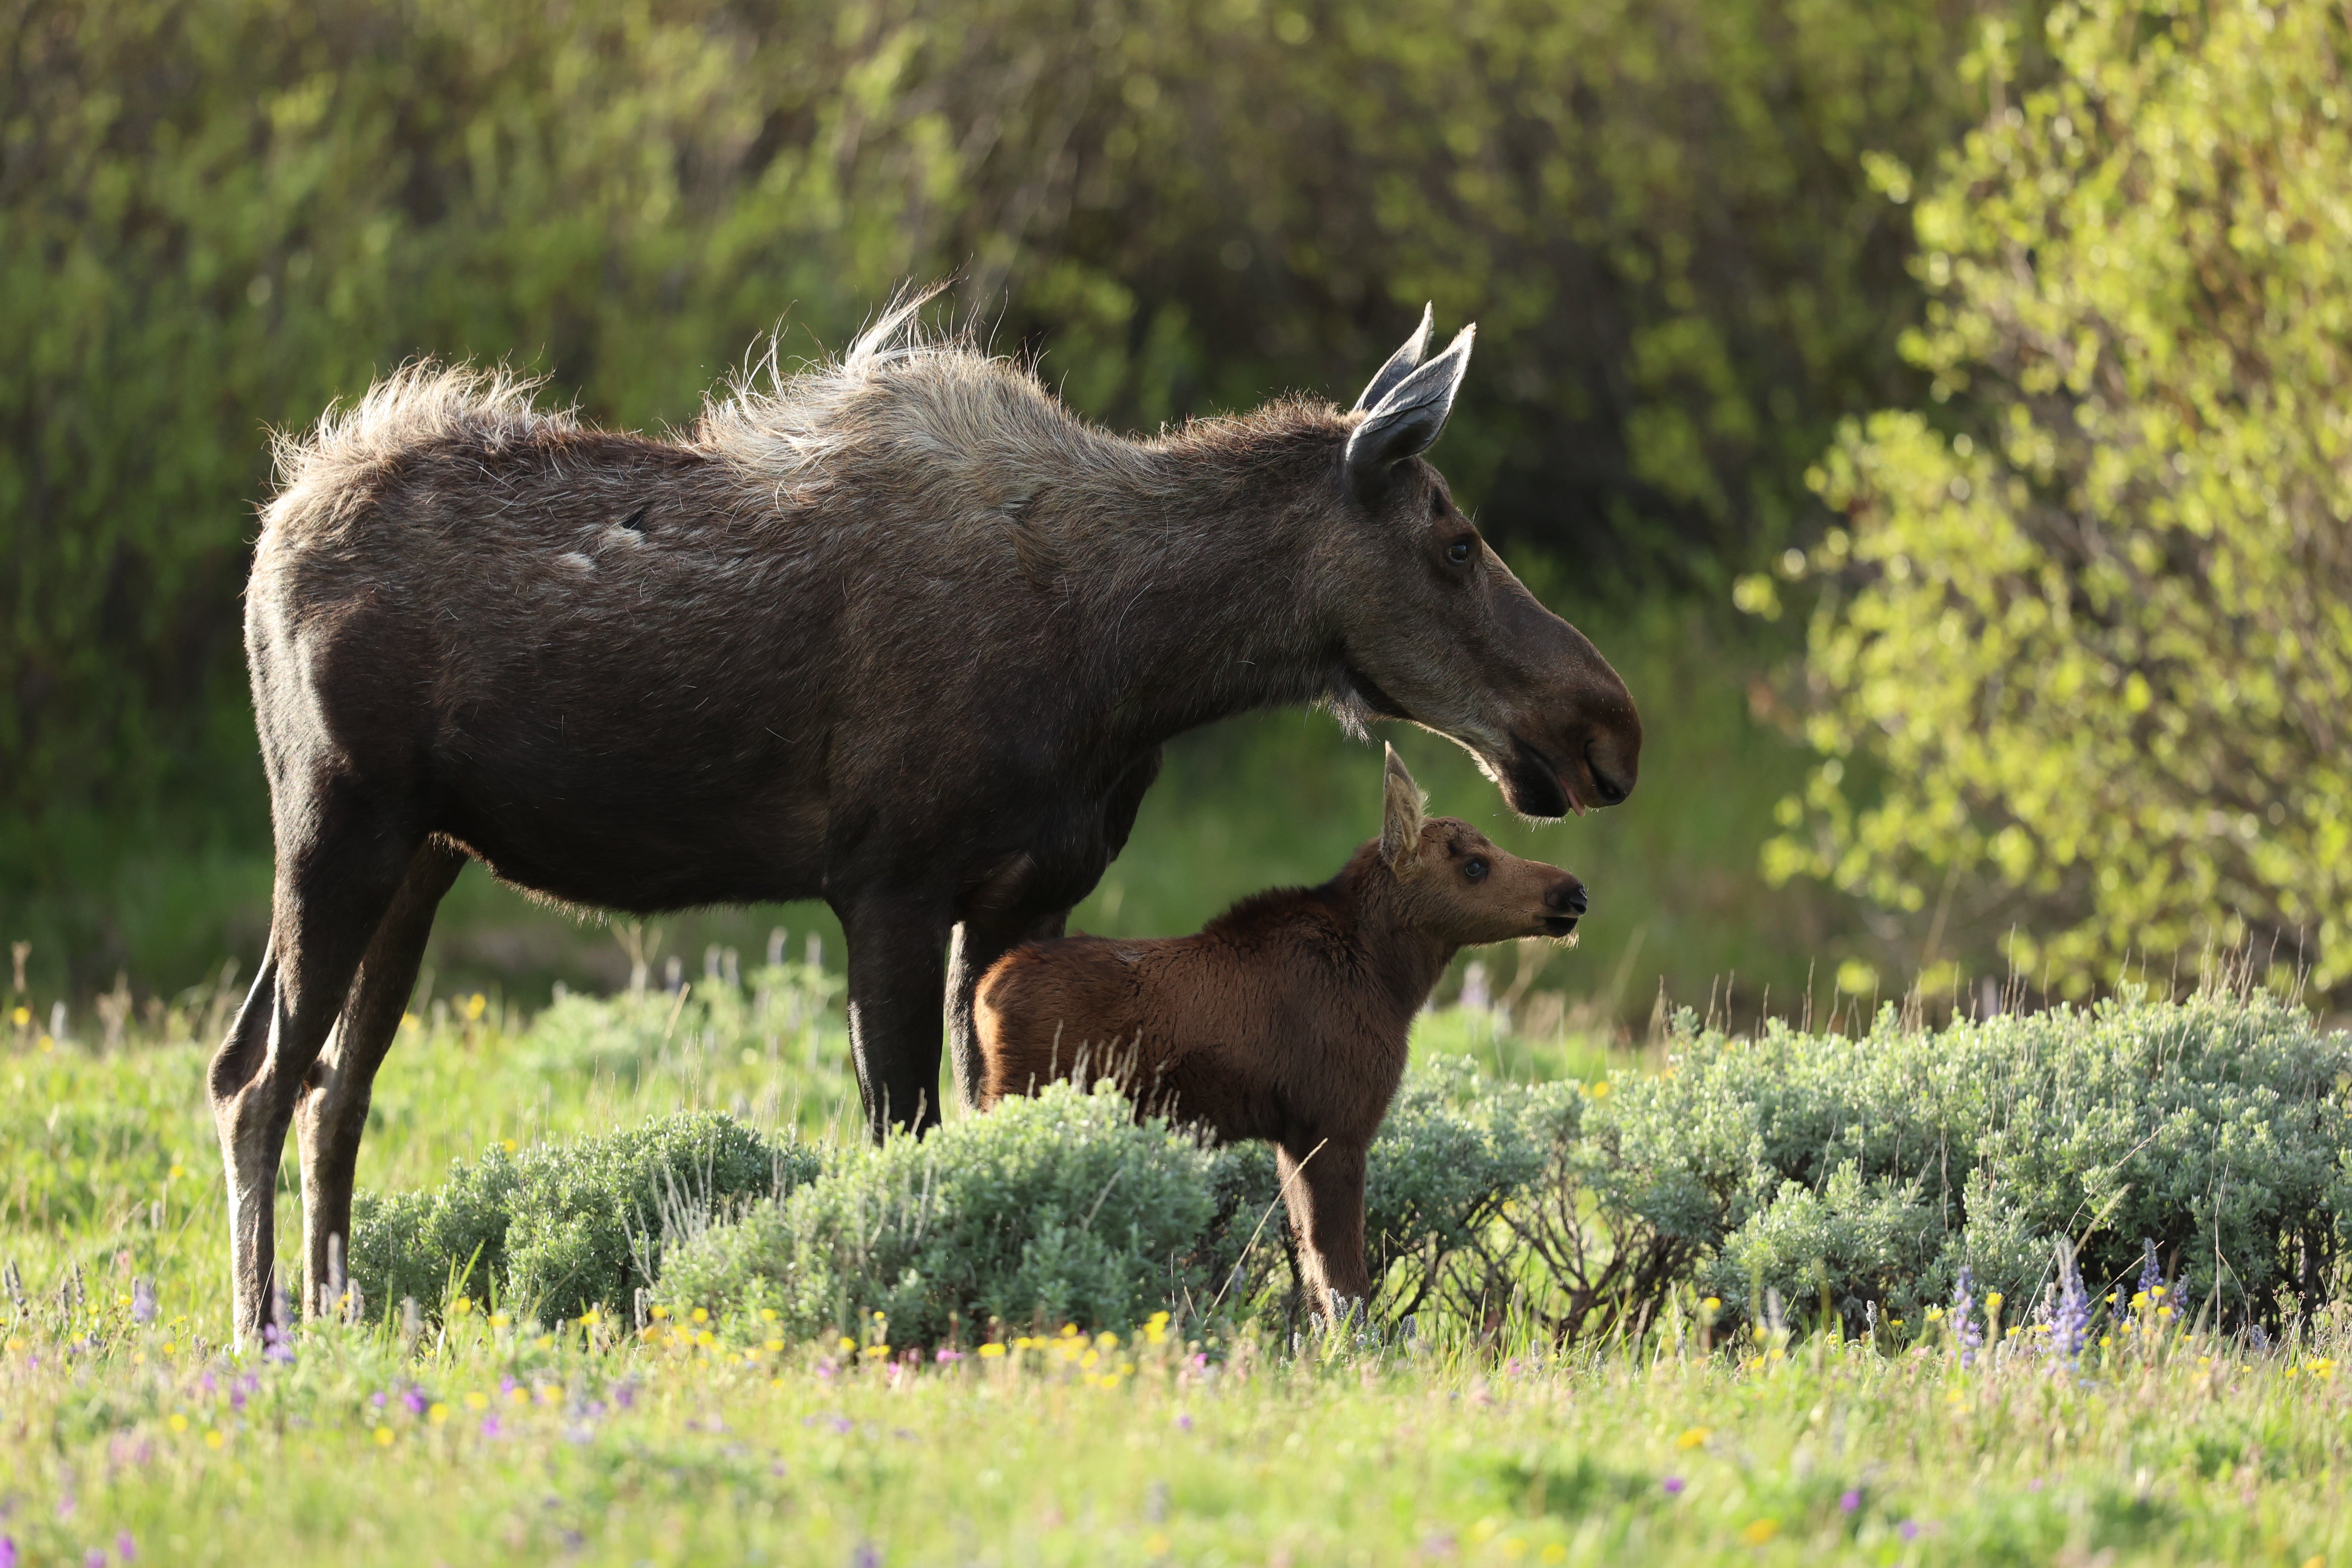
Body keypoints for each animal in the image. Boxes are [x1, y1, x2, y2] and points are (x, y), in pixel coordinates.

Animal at [974, 747, 1580, 1316]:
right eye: (1474, 866)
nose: (1574, 892)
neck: (1392, 982)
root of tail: (987, 994)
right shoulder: (1337, 1123)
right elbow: (1343, 1275)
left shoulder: (1293, 1135)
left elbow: (1310, 1265)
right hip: (1020, 1092)